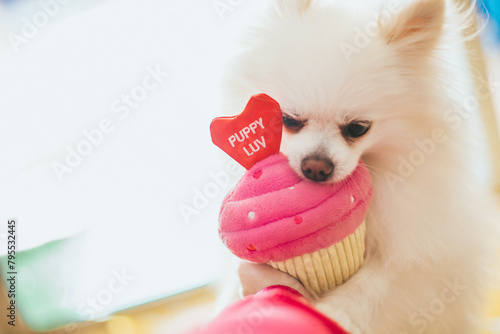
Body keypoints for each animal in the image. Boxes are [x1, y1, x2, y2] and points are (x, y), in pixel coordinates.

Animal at [221, 0, 500, 334]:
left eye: (358, 128)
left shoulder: (416, 260)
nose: (316, 167)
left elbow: (371, 288)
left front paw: (330, 312)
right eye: (288, 120)